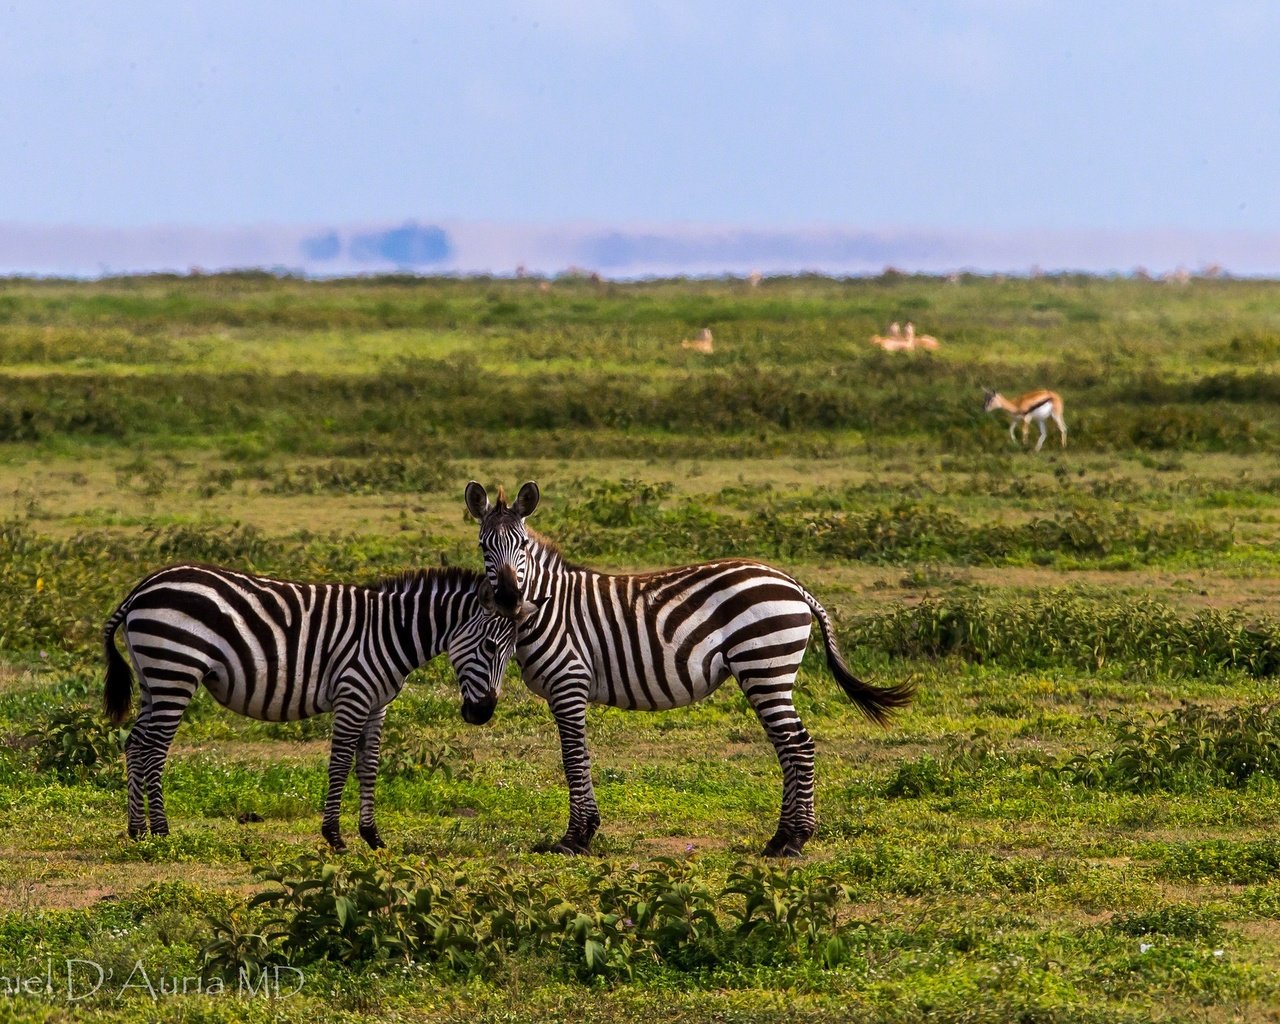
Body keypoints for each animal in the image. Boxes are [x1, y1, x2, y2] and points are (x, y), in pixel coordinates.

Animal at [101, 563, 514, 849]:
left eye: (513, 653)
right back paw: (161, 831)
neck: (391, 632)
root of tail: (141, 589)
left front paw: (372, 835)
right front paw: (334, 835)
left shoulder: (376, 704)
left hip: (153, 678)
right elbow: (341, 764)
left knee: (135, 743)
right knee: (154, 750)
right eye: (490, 645)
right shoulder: (353, 693)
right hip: (175, 670)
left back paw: (137, 831)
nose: (482, 714)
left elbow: (369, 766)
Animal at [460, 481, 911, 855]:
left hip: (765, 668)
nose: (509, 598)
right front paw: (584, 833)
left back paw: (793, 840)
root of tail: (794, 584)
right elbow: (579, 758)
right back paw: (782, 837)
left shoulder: (569, 682)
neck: (549, 607)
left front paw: (575, 839)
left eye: (521, 545)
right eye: (484, 546)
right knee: (789, 746)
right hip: (767, 673)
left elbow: (573, 759)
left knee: (797, 744)